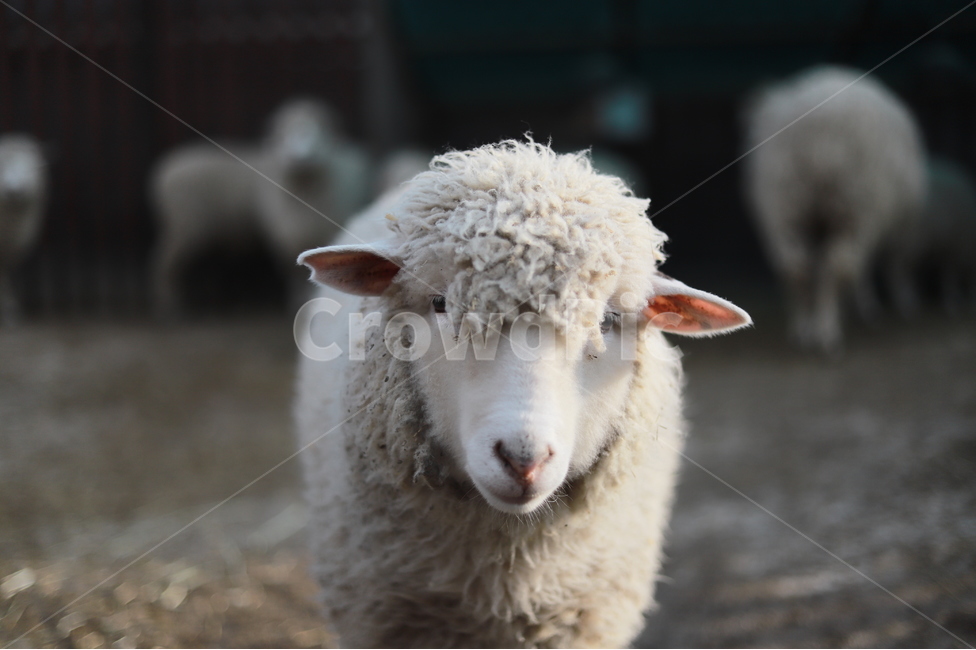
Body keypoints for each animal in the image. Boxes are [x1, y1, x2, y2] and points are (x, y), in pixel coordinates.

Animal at [151, 99, 371, 316]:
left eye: (320, 132)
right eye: (284, 134)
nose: (300, 157)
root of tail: (165, 169)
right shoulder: (286, 237)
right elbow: (295, 273)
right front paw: (299, 301)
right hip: (187, 225)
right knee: (165, 262)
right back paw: (170, 301)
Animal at [743, 65, 926, 352]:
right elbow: (888, 265)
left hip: (786, 202)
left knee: (797, 266)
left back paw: (804, 328)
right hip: (857, 205)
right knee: (843, 264)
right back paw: (828, 331)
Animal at [879, 157, 976, 316]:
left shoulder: (951, 249)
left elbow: (949, 274)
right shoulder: (957, 249)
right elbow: (952, 276)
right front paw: (954, 301)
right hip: (909, 238)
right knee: (895, 271)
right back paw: (906, 304)